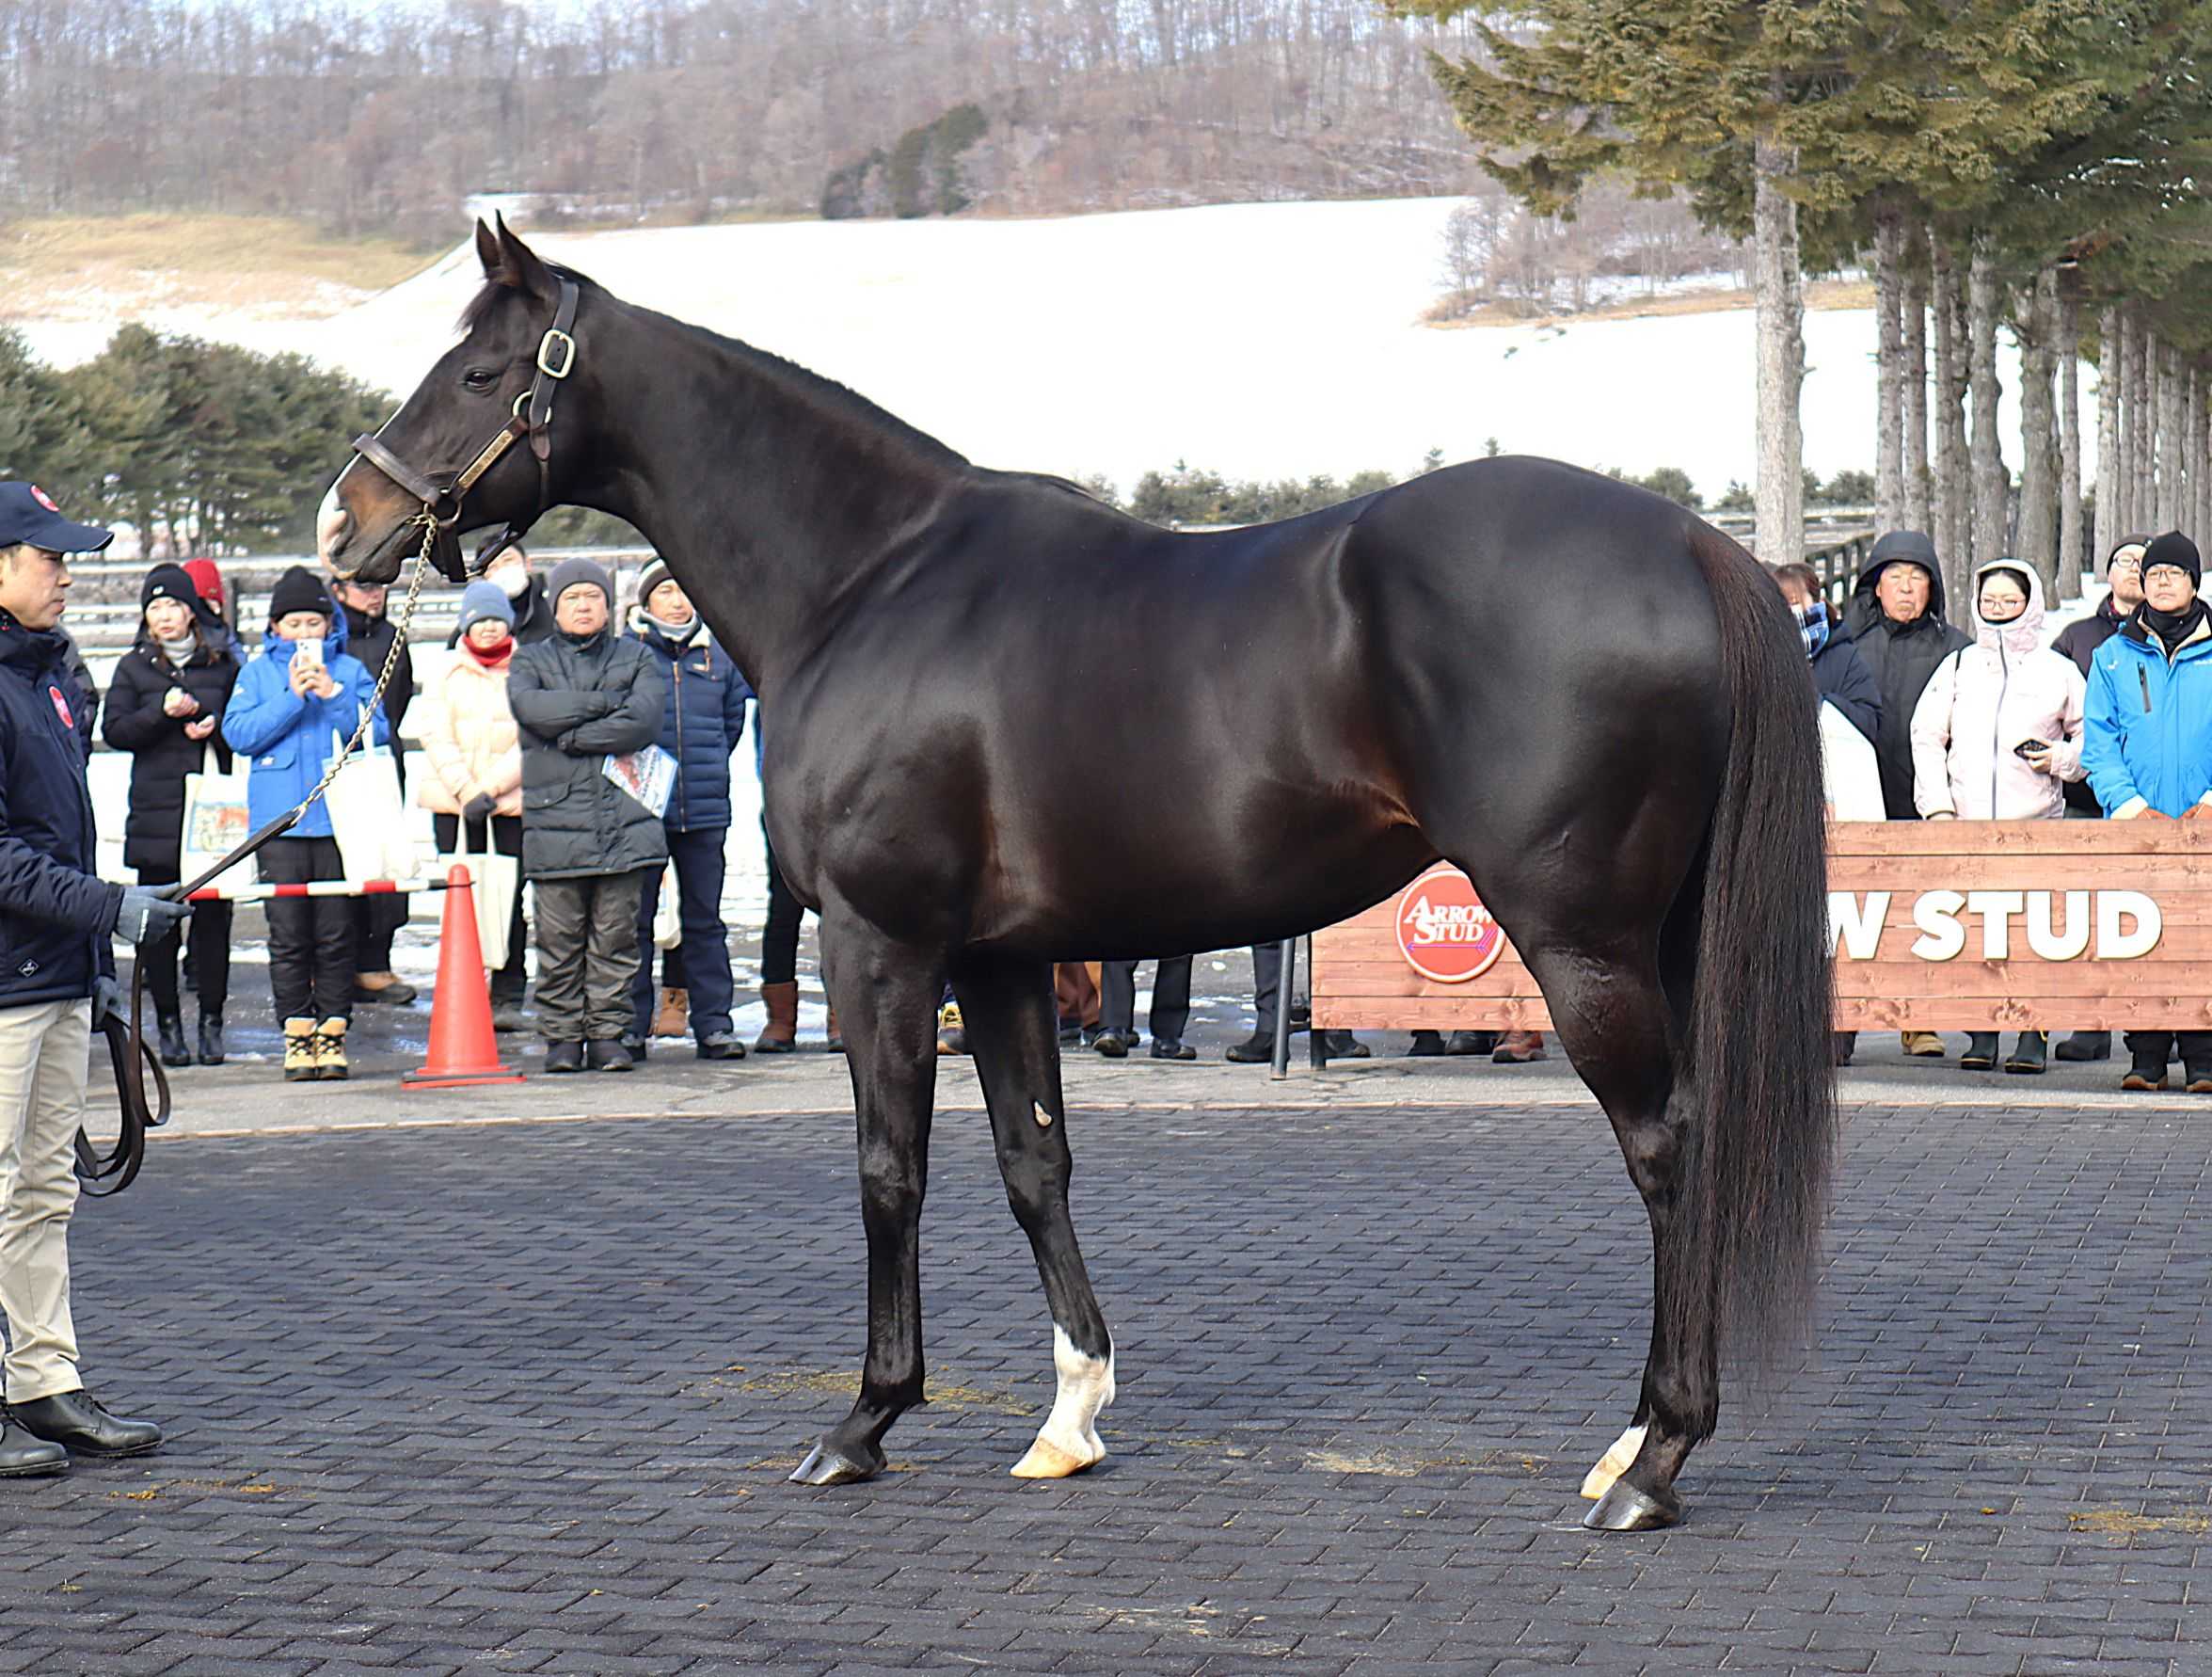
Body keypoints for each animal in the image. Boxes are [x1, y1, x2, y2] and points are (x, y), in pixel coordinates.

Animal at [318, 217, 1836, 1532]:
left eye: (477, 371)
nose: (345, 529)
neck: (868, 581)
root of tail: (1688, 543)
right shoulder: (998, 959)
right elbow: (1030, 1161)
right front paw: (1069, 1416)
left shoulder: (881, 942)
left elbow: (889, 1167)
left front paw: (863, 1420)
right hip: (1660, 931)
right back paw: (1626, 1447)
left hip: (1578, 938)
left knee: (1664, 1145)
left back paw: (1654, 1461)